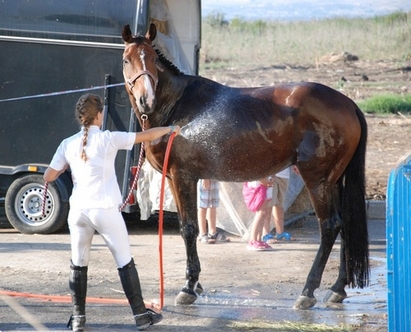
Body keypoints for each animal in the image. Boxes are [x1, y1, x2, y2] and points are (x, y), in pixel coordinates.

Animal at [121, 22, 370, 308]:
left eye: (153, 59)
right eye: (127, 59)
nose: (146, 100)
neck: (177, 106)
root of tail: (349, 104)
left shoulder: (183, 176)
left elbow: (189, 228)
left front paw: (188, 287)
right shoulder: (175, 179)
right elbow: (188, 226)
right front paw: (195, 284)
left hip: (318, 181)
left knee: (330, 226)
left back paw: (308, 291)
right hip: (334, 181)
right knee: (346, 226)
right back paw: (337, 288)